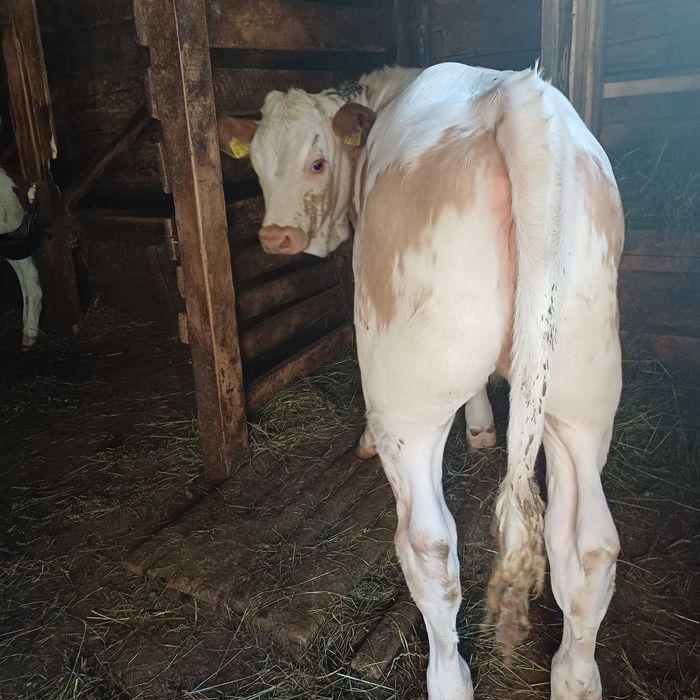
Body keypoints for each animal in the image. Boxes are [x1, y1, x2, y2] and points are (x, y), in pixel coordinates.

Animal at [218, 63, 624, 700]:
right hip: (582, 394)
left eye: (317, 162)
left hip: (406, 402)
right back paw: (574, 677)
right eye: (255, 164)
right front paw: (483, 430)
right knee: (588, 546)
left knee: (429, 546)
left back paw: (449, 678)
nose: (275, 237)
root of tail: (516, 95)